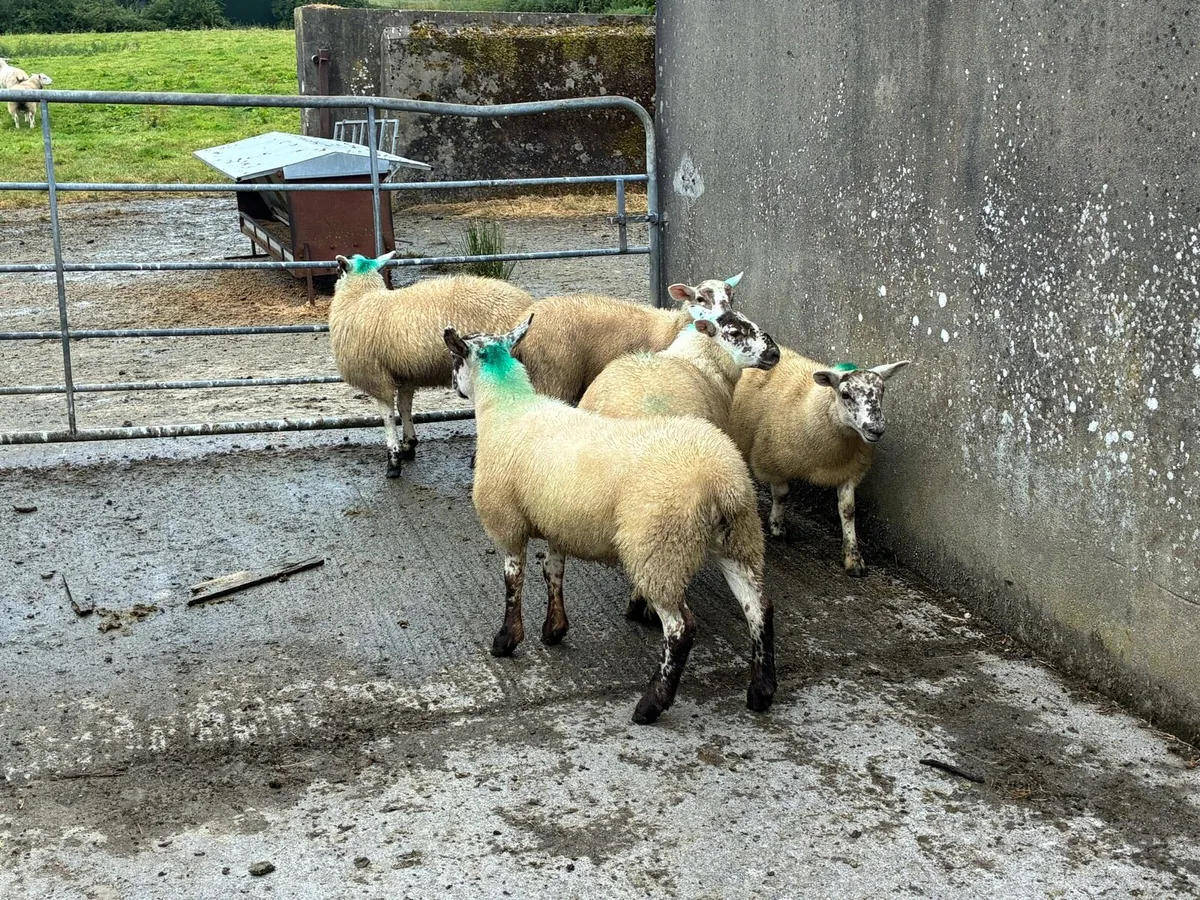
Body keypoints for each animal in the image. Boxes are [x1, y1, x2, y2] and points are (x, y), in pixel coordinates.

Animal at [329, 251, 534, 479]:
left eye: (338, 271)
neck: (358, 299)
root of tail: (529, 304)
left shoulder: (376, 377)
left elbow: (387, 416)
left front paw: (393, 461)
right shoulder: (406, 374)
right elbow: (404, 407)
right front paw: (409, 445)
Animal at [443, 316, 776, 725]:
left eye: (455, 360)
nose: (452, 386)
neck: (509, 407)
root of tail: (720, 482)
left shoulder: (507, 522)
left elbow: (512, 580)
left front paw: (506, 640)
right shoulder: (559, 520)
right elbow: (552, 572)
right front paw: (554, 629)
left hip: (660, 548)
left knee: (681, 629)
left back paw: (651, 704)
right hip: (738, 539)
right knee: (758, 608)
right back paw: (761, 691)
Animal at [729, 349, 910, 576]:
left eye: (882, 391)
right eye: (846, 395)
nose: (875, 430)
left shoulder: (848, 471)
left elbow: (848, 510)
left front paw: (853, 557)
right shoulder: (773, 461)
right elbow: (782, 494)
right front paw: (778, 527)